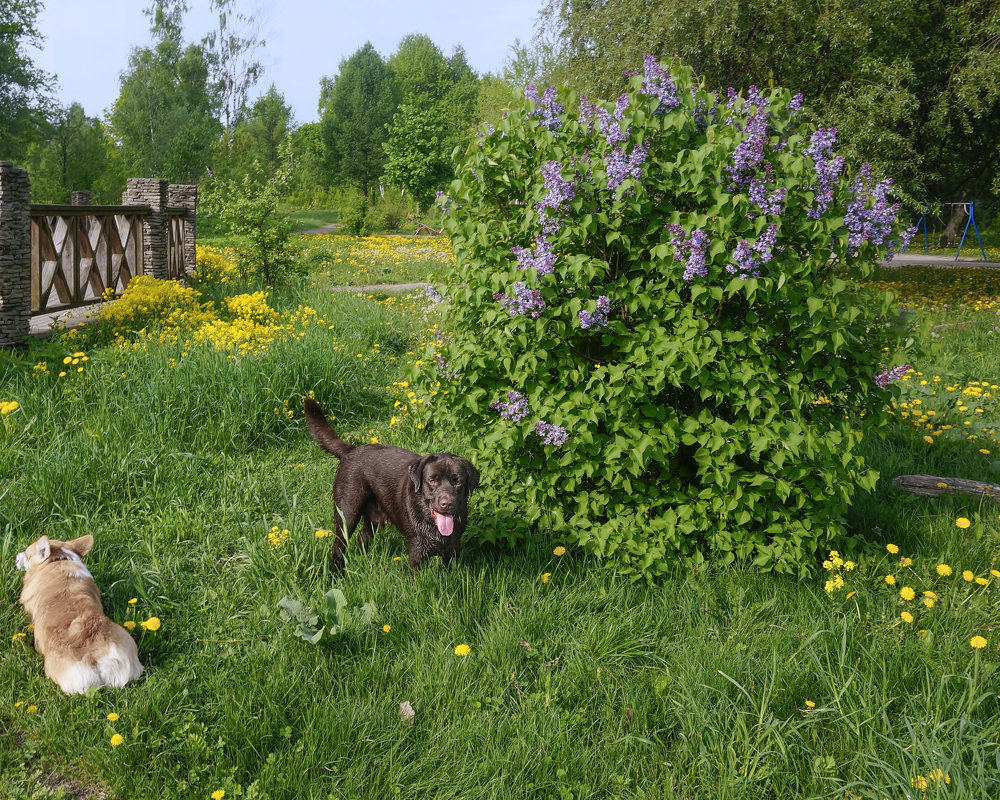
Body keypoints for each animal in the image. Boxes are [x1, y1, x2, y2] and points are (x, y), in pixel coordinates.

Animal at [302, 398, 478, 572]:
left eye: (458, 481)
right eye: (432, 480)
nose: (446, 503)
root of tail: (351, 450)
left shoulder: (453, 549)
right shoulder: (417, 551)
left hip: (373, 518)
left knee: (362, 536)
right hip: (347, 512)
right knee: (338, 545)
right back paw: (336, 573)